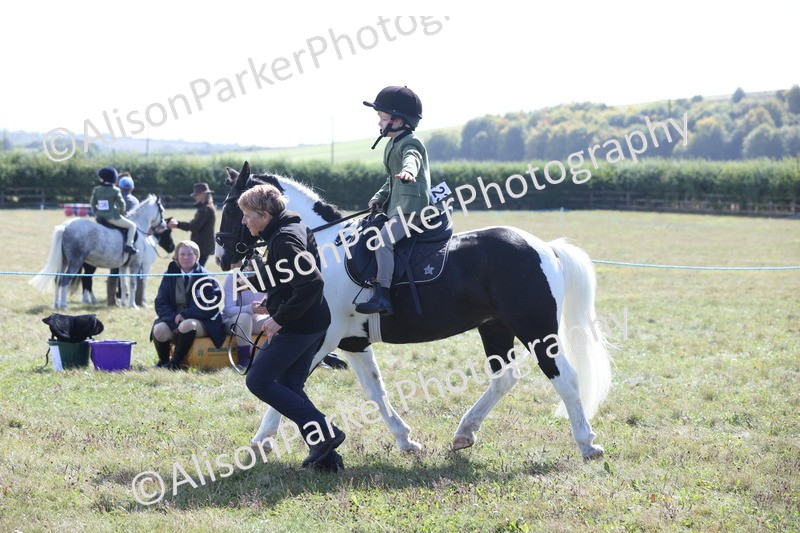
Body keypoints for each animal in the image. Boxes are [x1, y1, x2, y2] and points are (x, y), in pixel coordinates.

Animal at [30, 195, 167, 309]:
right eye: (162, 210)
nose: (164, 226)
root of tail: (65, 226)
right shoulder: (136, 264)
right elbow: (133, 284)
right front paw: (133, 305)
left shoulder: (123, 266)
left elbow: (124, 285)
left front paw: (123, 304)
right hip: (75, 261)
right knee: (65, 280)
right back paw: (63, 305)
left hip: (64, 261)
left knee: (58, 280)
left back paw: (56, 304)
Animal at [215, 162, 612, 459]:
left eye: (233, 208)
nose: (221, 255)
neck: (320, 246)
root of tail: (544, 247)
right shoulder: (352, 342)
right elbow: (376, 391)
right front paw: (405, 439)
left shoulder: (320, 337)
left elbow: (282, 385)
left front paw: (260, 442)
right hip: (495, 327)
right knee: (504, 378)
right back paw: (464, 433)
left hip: (536, 329)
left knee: (565, 378)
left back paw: (587, 444)